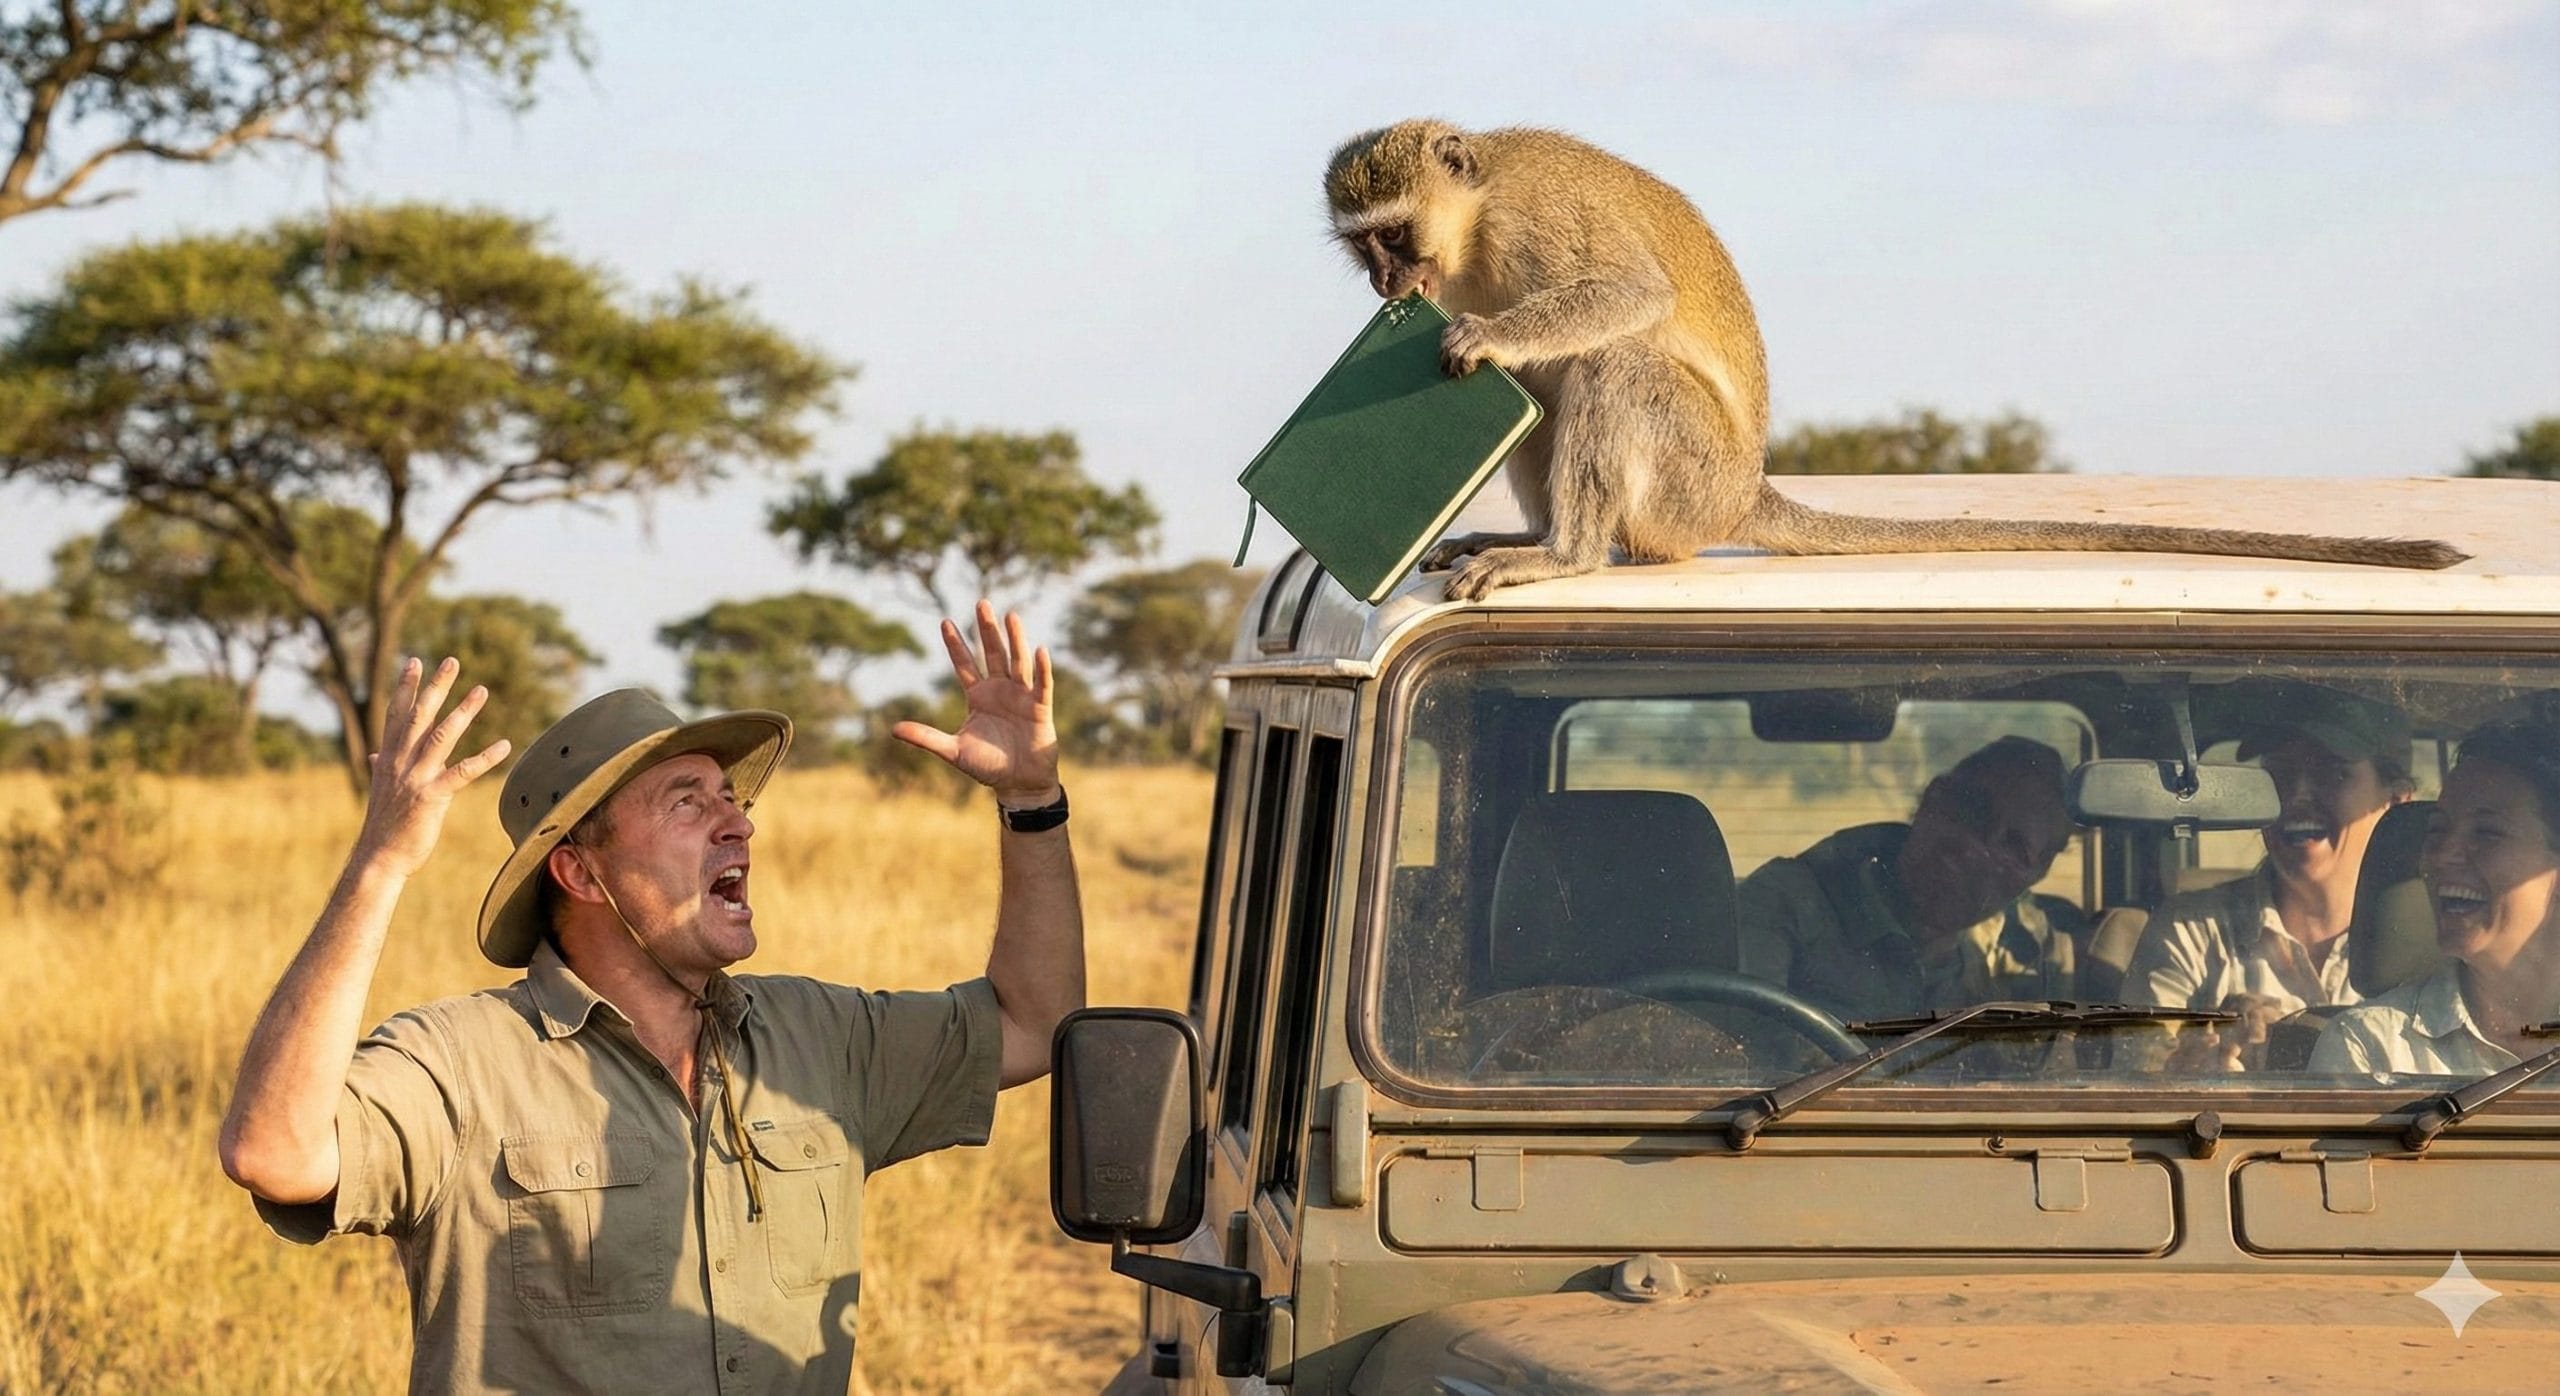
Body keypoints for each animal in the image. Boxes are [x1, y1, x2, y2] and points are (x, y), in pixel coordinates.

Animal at [1323, 120, 2468, 602]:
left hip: (1693, 481)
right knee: (1552, 400)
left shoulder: (1538, 222)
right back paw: (1530, 532)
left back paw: (1561, 553)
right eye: (1362, 248)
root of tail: (1746, 494)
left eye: (1394, 235)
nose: (1384, 287)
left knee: (1617, 373)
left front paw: (1489, 335)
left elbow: (1632, 296)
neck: (1473, 231)